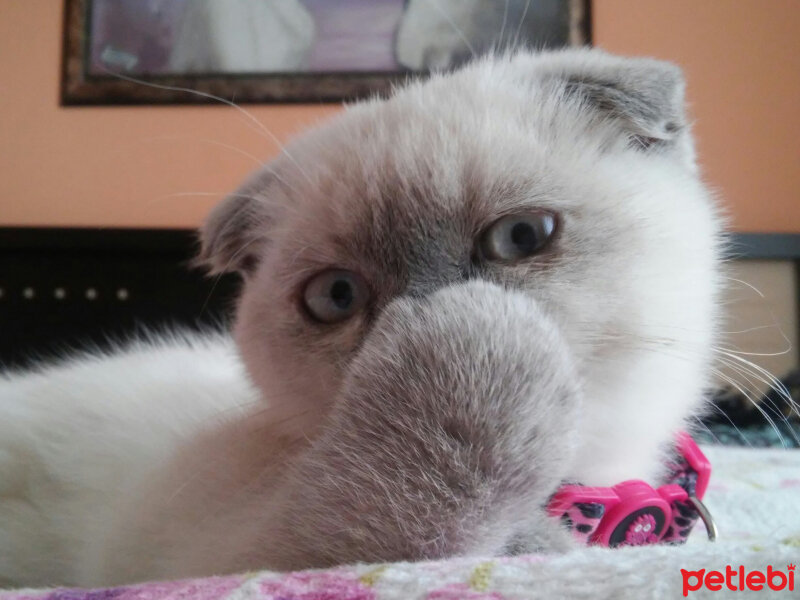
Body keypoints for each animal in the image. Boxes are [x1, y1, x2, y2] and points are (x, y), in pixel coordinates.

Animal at [0, 49, 724, 588]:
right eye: (337, 296)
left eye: (521, 237)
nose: (423, 302)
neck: (576, 486)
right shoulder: (225, 554)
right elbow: (405, 515)